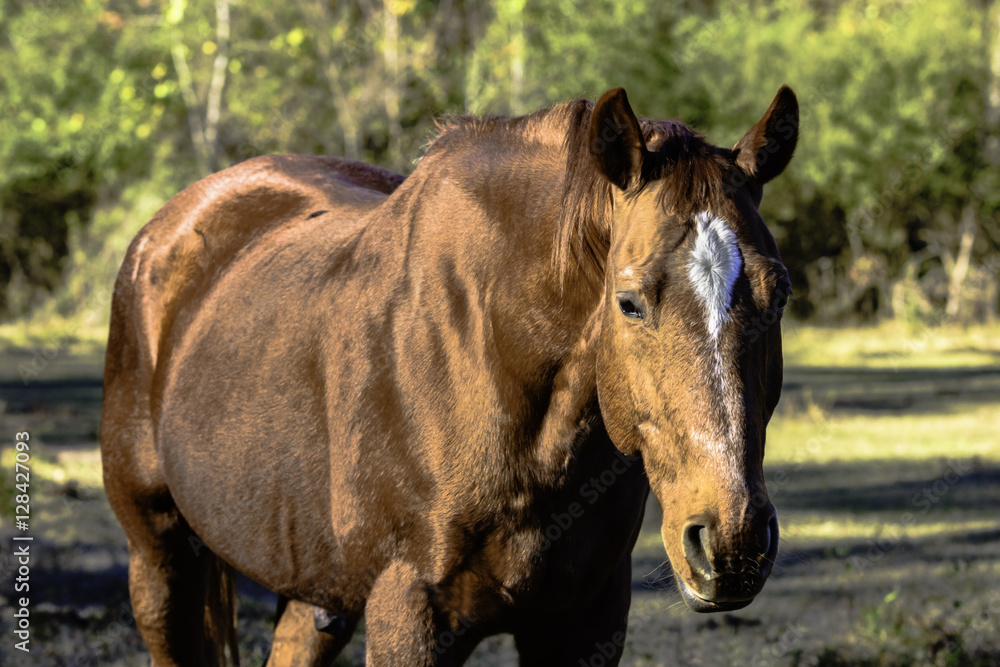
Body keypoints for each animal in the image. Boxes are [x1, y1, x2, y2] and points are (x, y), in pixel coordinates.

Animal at [100, 85, 798, 665]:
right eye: (628, 302)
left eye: (781, 294)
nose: (732, 540)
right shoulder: (411, 613)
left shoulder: (586, 619)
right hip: (159, 559)